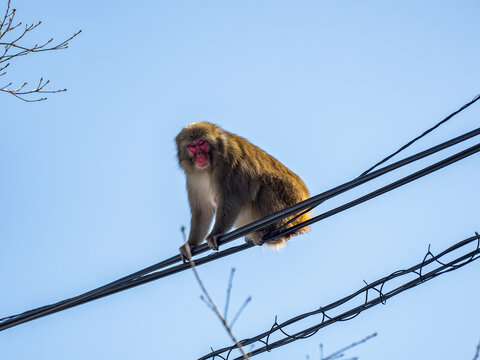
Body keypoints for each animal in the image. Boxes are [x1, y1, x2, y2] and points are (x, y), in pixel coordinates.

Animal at [176, 121, 312, 262]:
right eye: (192, 146)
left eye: (202, 143)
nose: (199, 155)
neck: (208, 169)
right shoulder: (193, 179)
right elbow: (203, 211)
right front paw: (190, 244)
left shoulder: (229, 163)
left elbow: (231, 200)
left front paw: (215, 233)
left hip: (292, 199)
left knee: (266, 183)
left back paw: (274, 231)